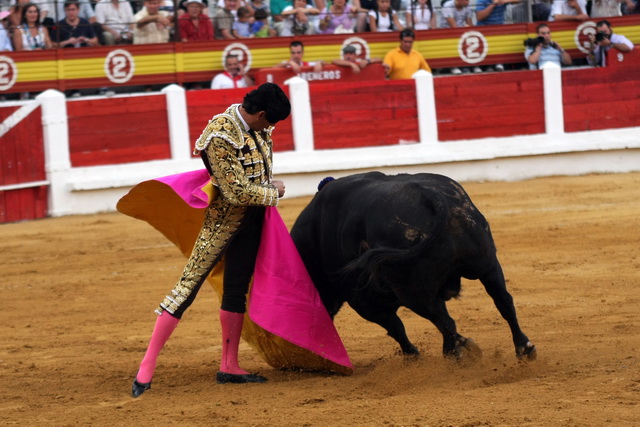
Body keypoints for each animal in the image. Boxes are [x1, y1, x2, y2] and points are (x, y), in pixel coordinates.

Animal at [288, 172, 536, 362]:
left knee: (444, 320)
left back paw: (455, 353)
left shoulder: (362, 301)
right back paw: (523, 348)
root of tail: (431, 196)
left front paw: (413, 355)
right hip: (487, 265)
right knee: (503, 302)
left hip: (413, 291)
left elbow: (395, 327)